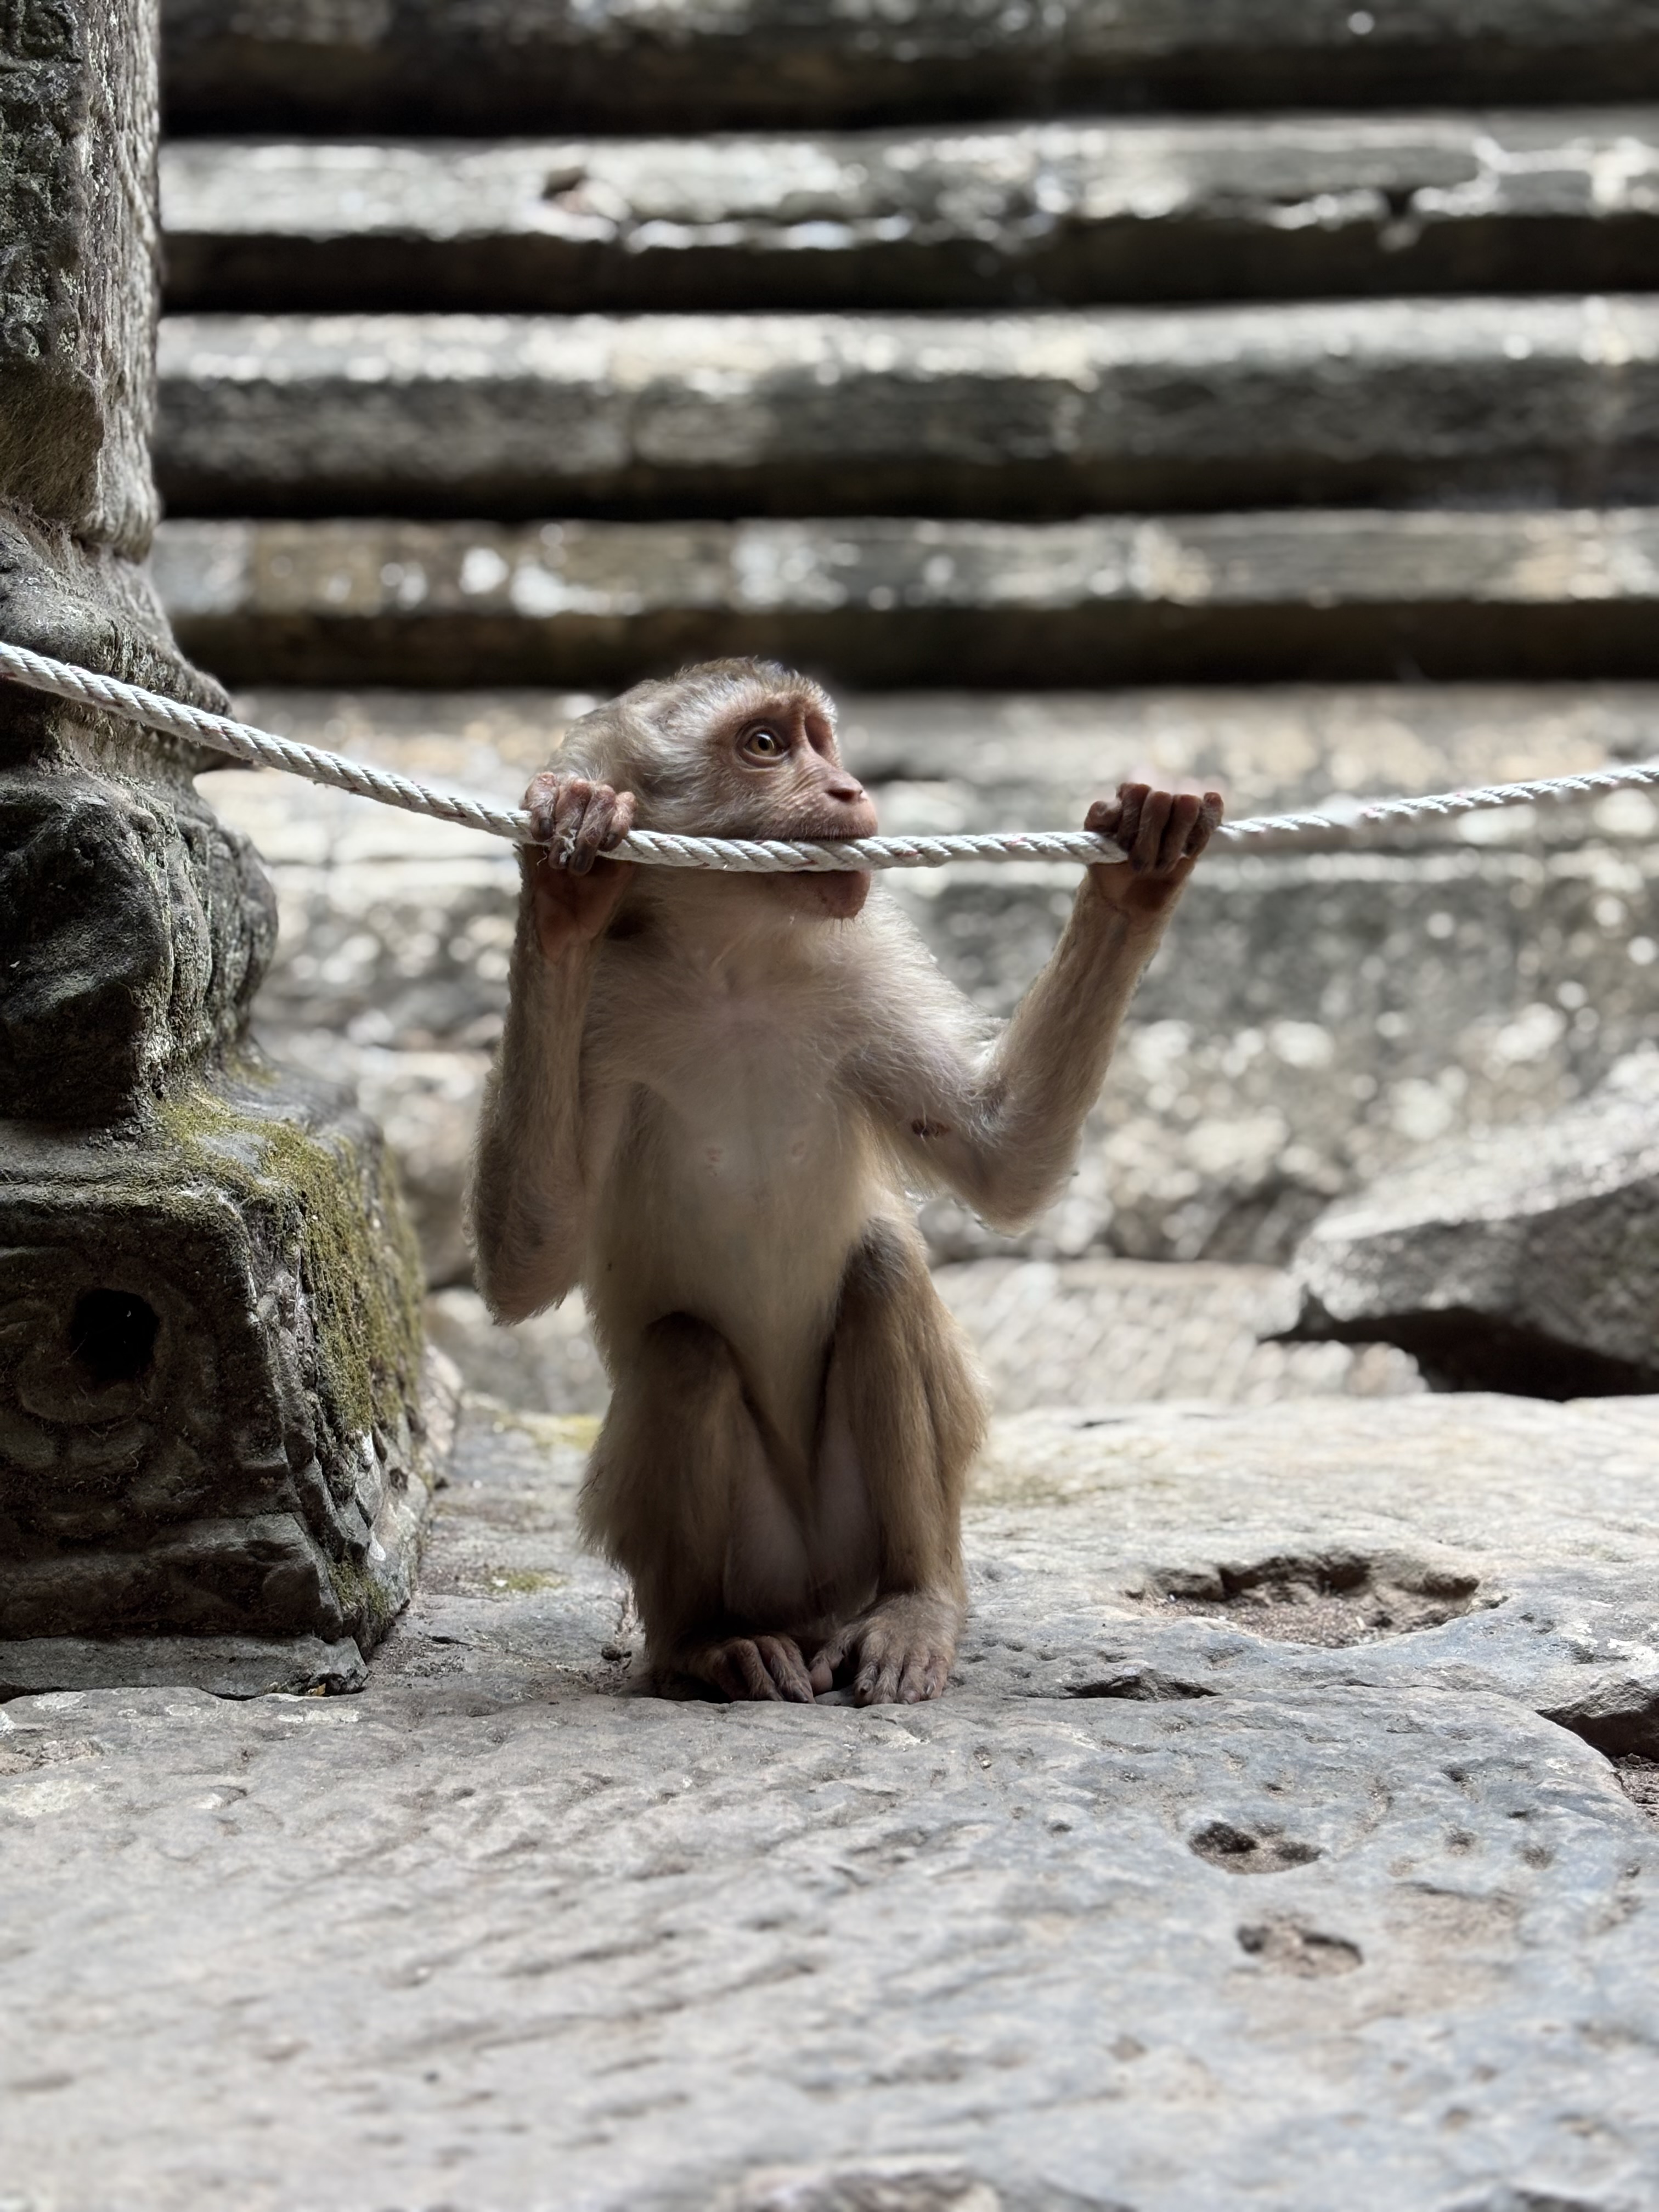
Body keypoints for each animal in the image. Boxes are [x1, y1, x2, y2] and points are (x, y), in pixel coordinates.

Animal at [469, 659, 1221, 1706]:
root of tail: (813, 1596)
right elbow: (527, 1260)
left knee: (879, 1277)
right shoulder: (601, 1017)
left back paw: (914, 1605)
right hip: (751, 1551)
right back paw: (705, 1643)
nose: (848, 788)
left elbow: (1003, 1156)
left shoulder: (861, 973)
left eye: (820, 741)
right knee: (685, 1353)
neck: (729, 966)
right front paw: (560, 884)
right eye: (764, 746)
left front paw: (1139, 868)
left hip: (849, 1530)